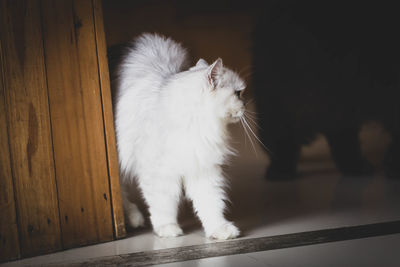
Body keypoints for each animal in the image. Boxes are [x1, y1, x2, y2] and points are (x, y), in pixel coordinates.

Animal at [114, 33, 245, 241]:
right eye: (238, 93)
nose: (245, 105)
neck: (197, 125)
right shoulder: (158, 173)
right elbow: (163, 206)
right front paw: (168, 229)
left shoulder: (203, 169)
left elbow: (211, 204)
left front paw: (219, 230)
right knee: (120, 192)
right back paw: (134, 218)